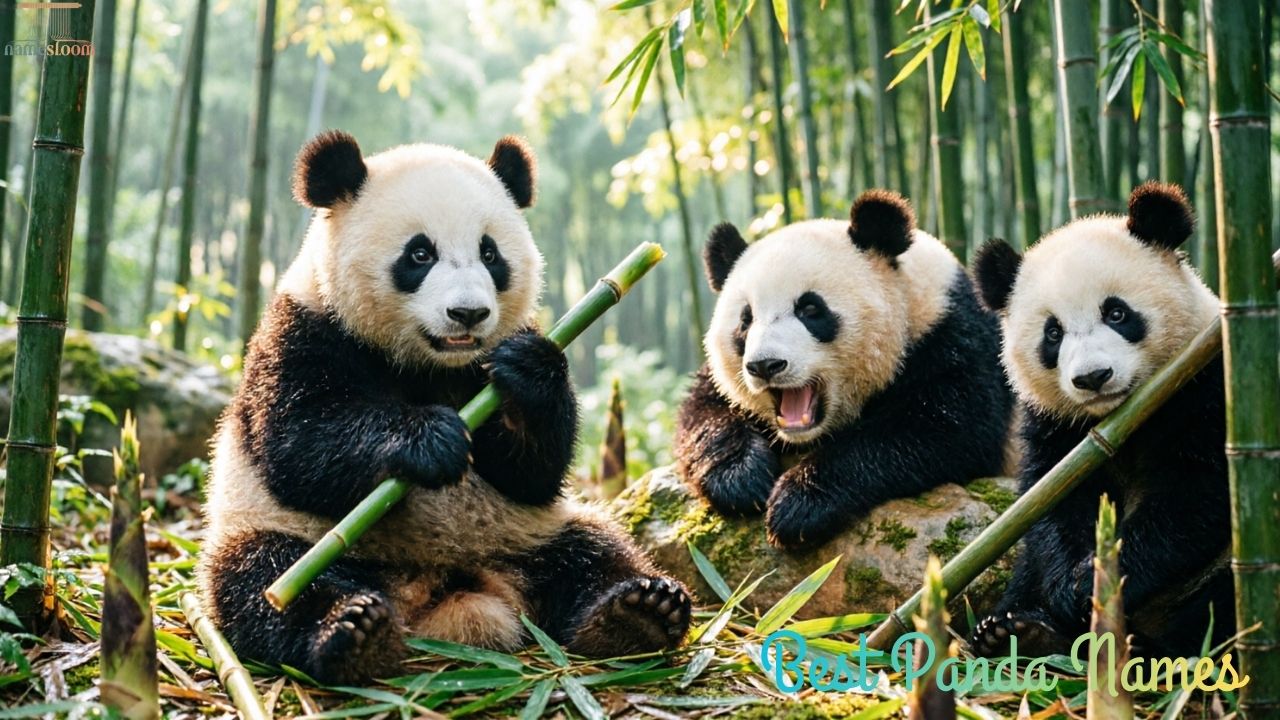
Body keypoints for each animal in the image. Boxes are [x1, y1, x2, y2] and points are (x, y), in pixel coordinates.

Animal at [197, 131, 691, 684]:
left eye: (490, 253)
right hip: (284, 533)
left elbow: (534, 473)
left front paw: (530, 375)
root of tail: (449, 587)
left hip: (530, 533)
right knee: (265, 580)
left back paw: (638, 612)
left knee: (595, 554)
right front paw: (430, 439)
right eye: (419, 253)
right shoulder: (304, 329)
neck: (433, 363)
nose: (468, 313)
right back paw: (351, 631)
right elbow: (298, 442)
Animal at [673, 190, 1014, 552]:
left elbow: (943, 428)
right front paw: (738, 478)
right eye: (745, 320)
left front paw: (799, 504)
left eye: (810, 308)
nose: (765, 365)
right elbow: (703, 411)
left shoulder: (953, 337)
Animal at [968, 181, 1232, 659]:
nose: (1093, 377)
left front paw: (1097, 581)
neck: (1121, 417)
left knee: (1216, 607)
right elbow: (1054, 506)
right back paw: (1016, 631)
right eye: (1053, 334)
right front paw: (1065, 592)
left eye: (1117, 313)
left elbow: (1195, 495)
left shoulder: (1205, 387)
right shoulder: (1057, 427)